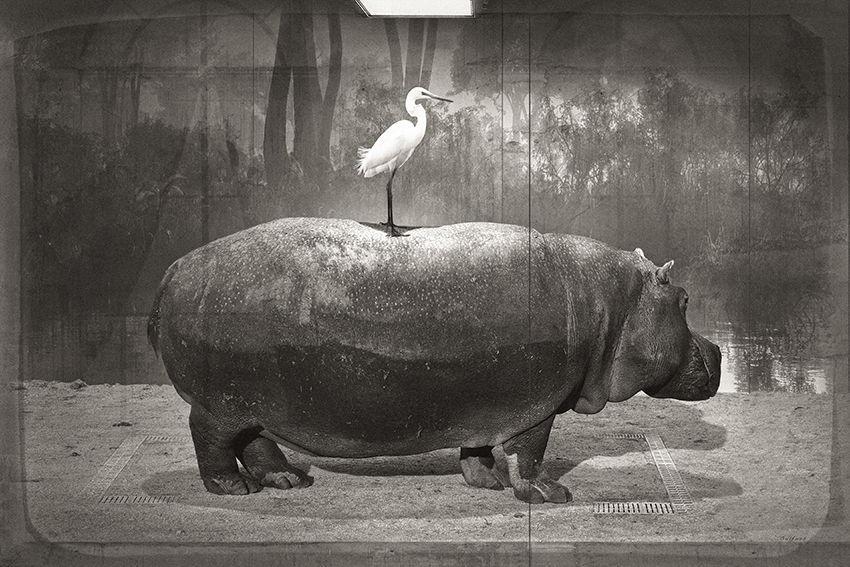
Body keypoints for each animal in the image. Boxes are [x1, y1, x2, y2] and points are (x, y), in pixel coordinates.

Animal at [148, 218, 720, 503]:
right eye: (685, 299)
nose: (716, 351)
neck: (614, 302)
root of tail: (173, 269)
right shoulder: (538, 405)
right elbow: (532, 453)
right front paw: (551, 495)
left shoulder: (486, 400)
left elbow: (479, 448)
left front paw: (486, 483)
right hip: (221, 402)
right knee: (211, 439)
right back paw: (234, 490)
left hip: (257, 402)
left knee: (258, 441)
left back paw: (288, 483)